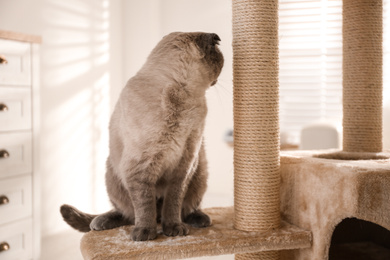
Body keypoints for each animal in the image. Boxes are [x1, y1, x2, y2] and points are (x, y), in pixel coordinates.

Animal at [61, 32, 225, 242]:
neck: (182, 100)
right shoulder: (140, 167)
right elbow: (145, 205)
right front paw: (145, 234)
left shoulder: (184, 166)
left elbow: (173, 203)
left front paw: (173, 229)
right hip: (111, 175)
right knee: (127, 212)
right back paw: (101, 223)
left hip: (200, 172)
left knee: (186, 208)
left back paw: (199, 219)